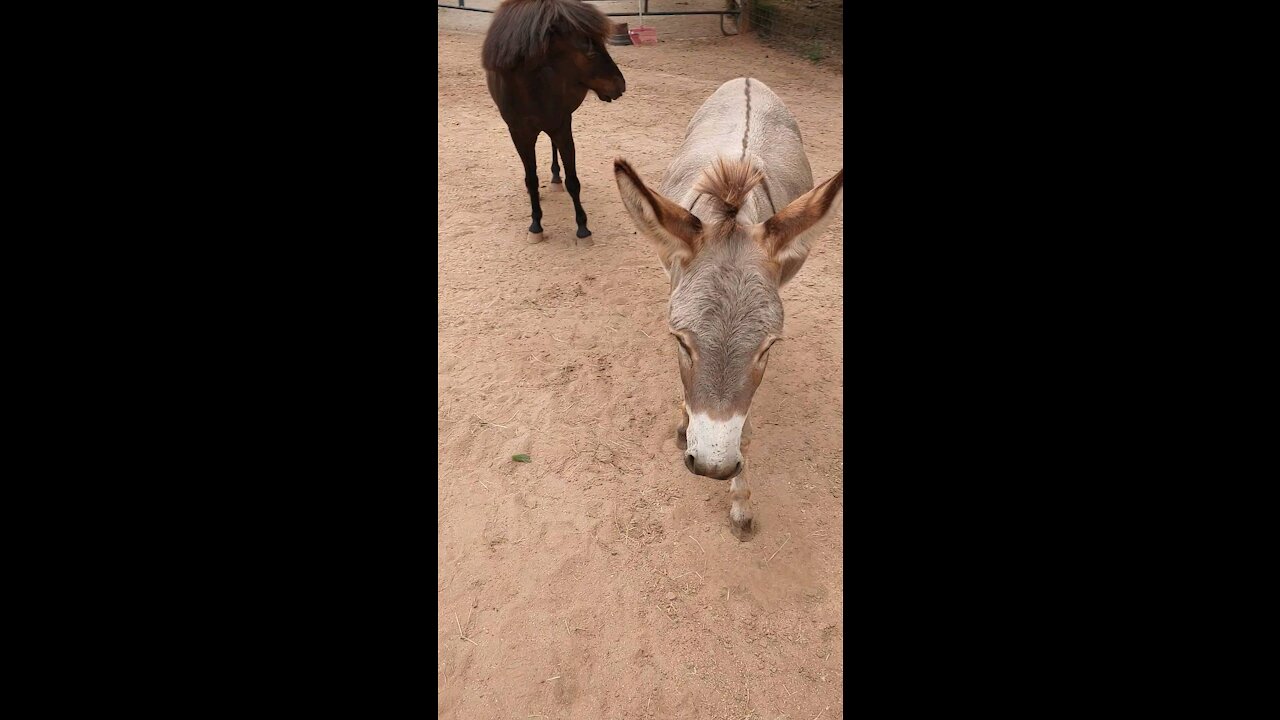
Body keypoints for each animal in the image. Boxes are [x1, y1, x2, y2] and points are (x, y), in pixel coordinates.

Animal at [481, 0, 624, 242]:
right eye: (590, 51)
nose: (620, 84)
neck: (530, 89)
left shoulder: (561, 127)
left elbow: (573, 181)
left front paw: (583, 228)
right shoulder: (519, 134)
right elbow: (531, 179)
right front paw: (536, 225)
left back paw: (556, 177)